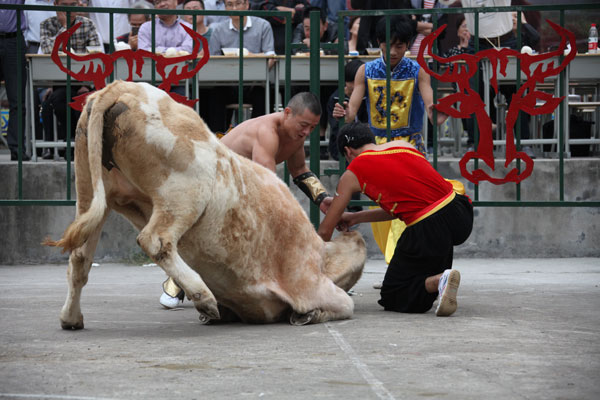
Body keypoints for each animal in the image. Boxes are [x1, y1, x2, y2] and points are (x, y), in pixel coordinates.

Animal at [45, 80, 366, 328]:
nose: (354, 232)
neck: (319, 252)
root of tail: (120, 88)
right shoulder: (307, 282)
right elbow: (343, 305)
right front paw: (309, 315)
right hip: (186, 193)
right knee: (155, 239)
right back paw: (203, 297)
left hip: (90, 191)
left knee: (80, 258)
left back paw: (71, 318)